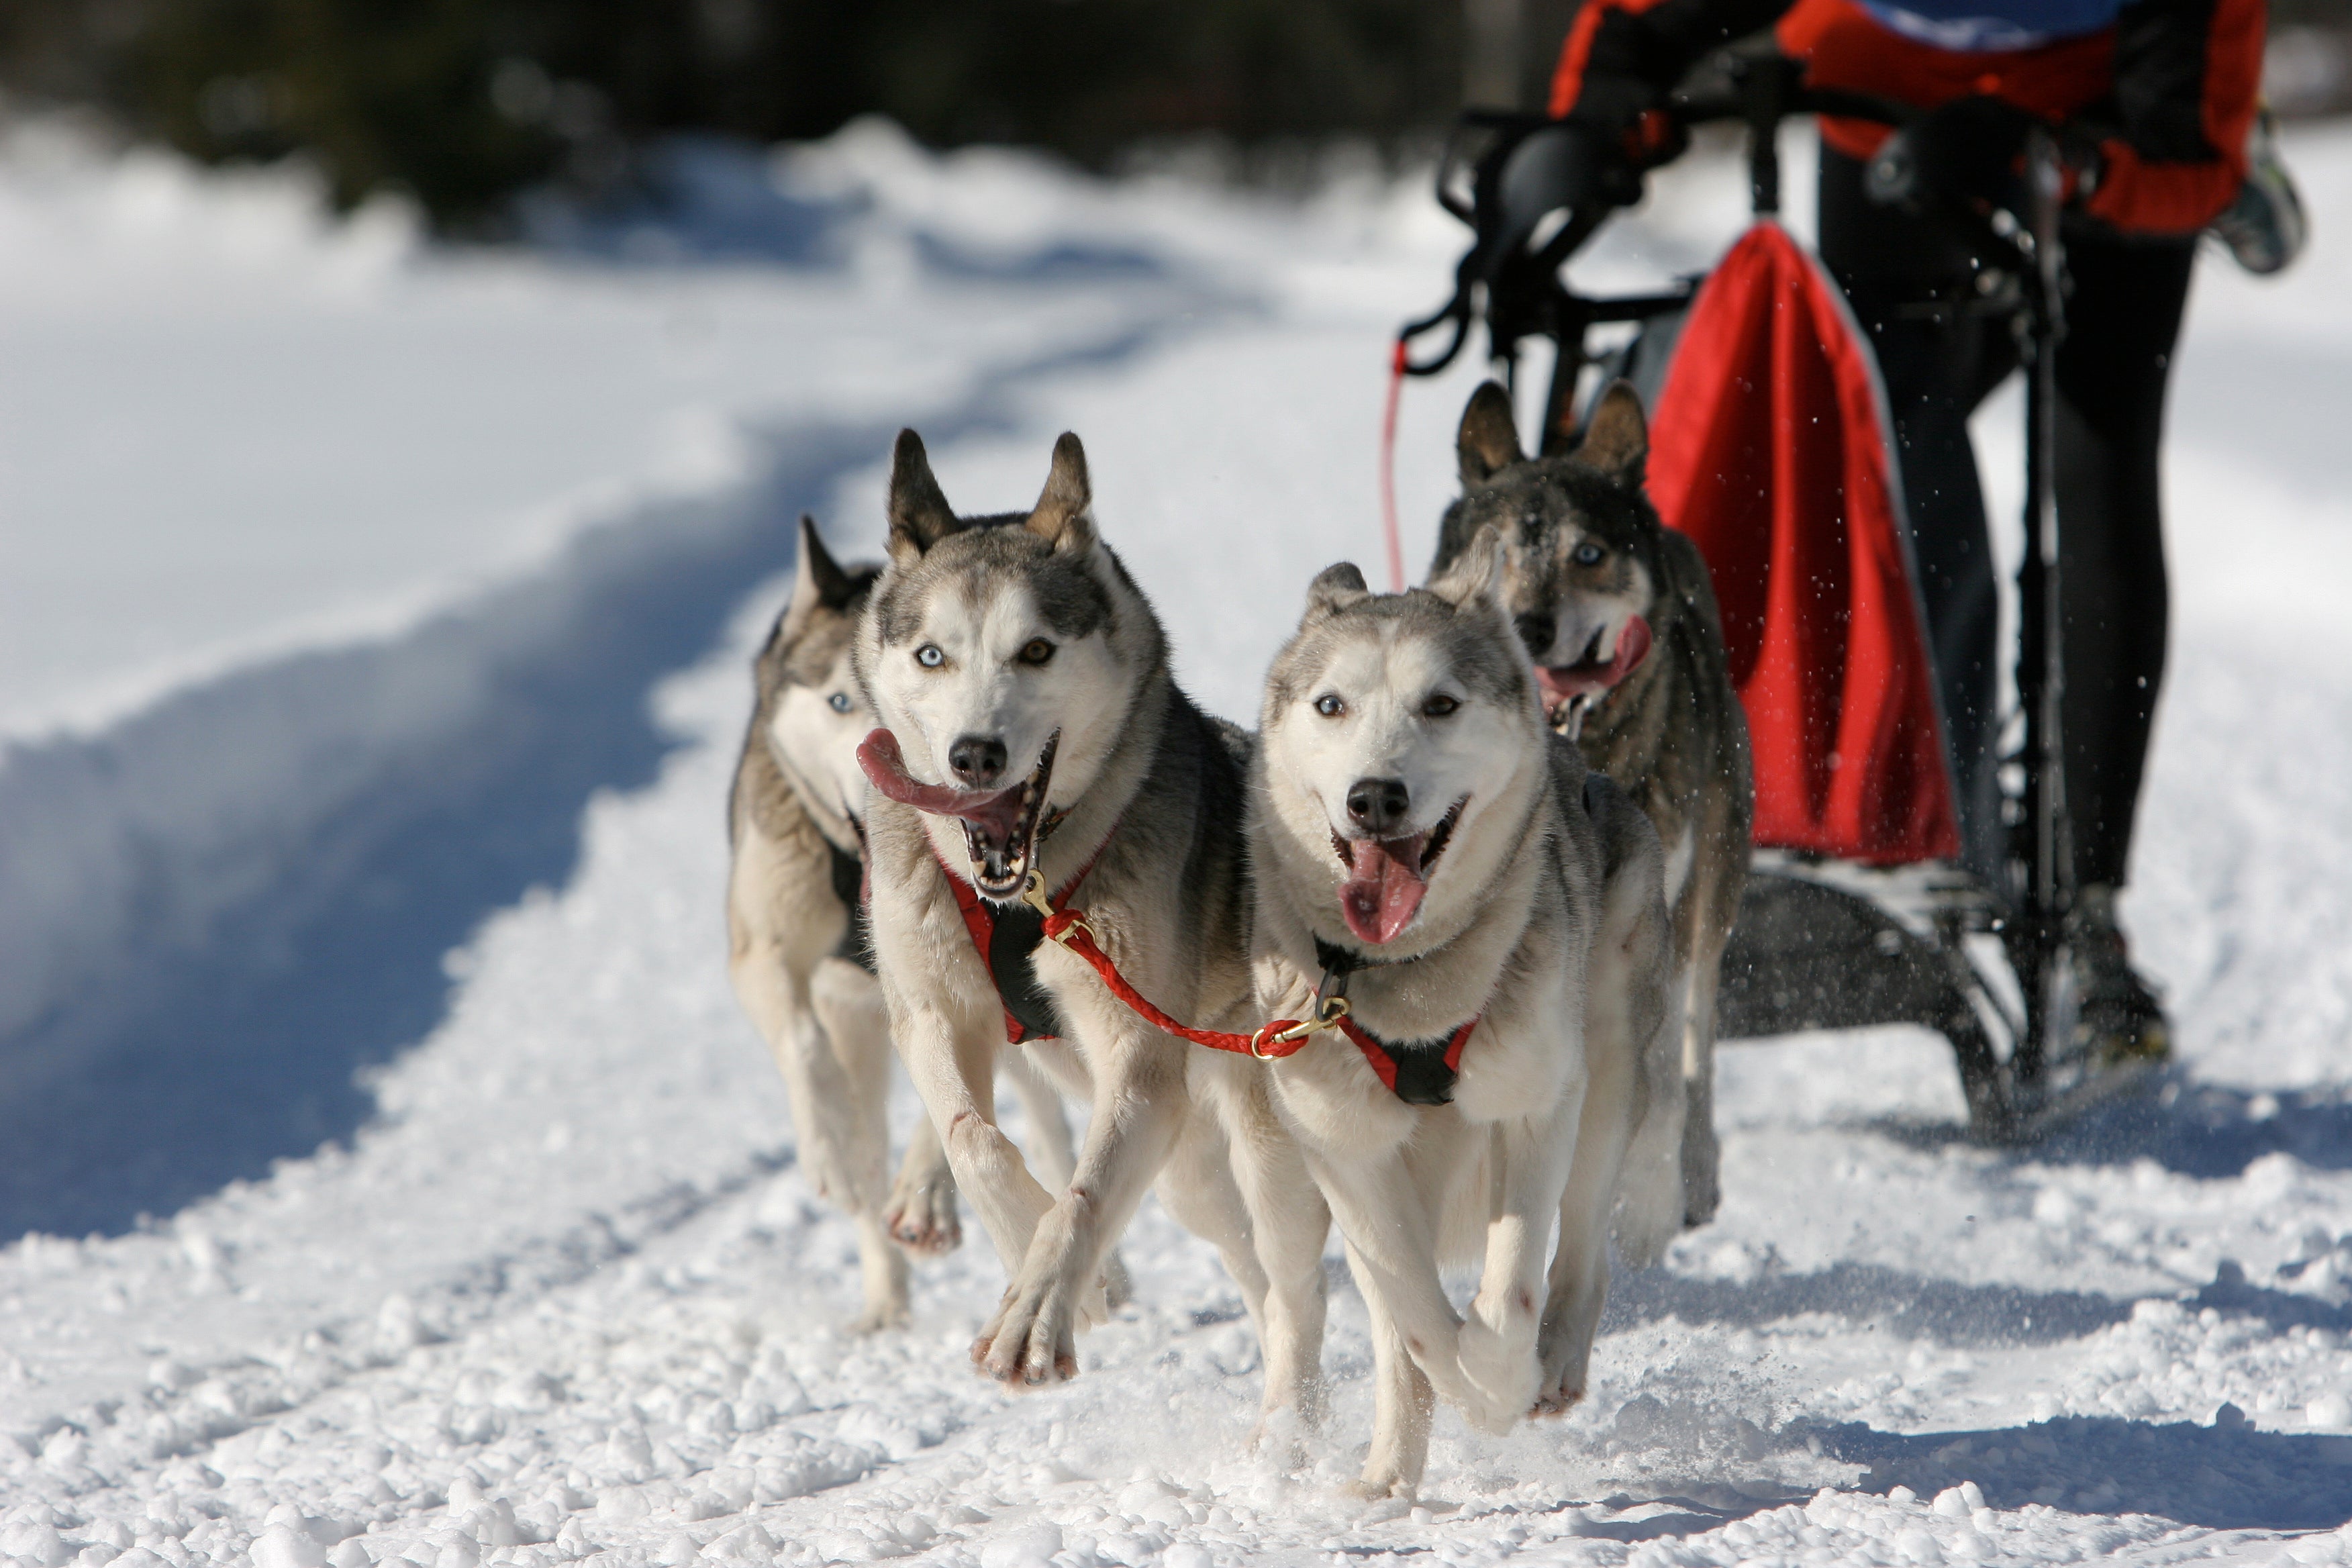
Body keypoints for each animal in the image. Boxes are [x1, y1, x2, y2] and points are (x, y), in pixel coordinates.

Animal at [724, 522, 1091, 1335]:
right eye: (841, 700)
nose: (893, 777)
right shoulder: (766, 950)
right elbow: (806, 1049)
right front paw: (828, 1148)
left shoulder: (961, 989)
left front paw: (928, 1191)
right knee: (869, 1136)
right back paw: (884, 1297)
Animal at [851, 430, 1336, 1420]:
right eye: (932, 655)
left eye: (1036, 649)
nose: (975, 753)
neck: (1019, 892)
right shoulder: (934, 1015)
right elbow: (975, 1141)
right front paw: (1054, 1258)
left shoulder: (1139, 1062)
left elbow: (1080, 1201)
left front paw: (1039, 1310)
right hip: (1190, 1166)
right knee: (1244, 1263)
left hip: (1260, 1145)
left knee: (1295, 1282)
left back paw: (1290, 1423)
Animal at [1242, 536, 1683, 1495]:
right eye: (1331, 704)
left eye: (1440, 703)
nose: (1375, 795)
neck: (1412, 987)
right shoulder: (1348, 1149)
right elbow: (1409, 1309)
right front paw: (1456, 1385)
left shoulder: (1531, 1103)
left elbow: (1510, 1286)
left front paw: (1498, 1379)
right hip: (1283, 1177)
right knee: (1337, 1309)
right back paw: (1371, 1473)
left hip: (1607, 1072)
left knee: (1582, 1241)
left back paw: (1551, 1364)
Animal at [1420, 385, 1759, 1232]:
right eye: (1501, 551)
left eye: (1588, 555)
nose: (1534, 626)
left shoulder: (1659, 918)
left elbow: (1663, 1075)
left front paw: (1649, 1200)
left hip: (1712, 887)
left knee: (1695, 1043)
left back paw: (1690, 1173)